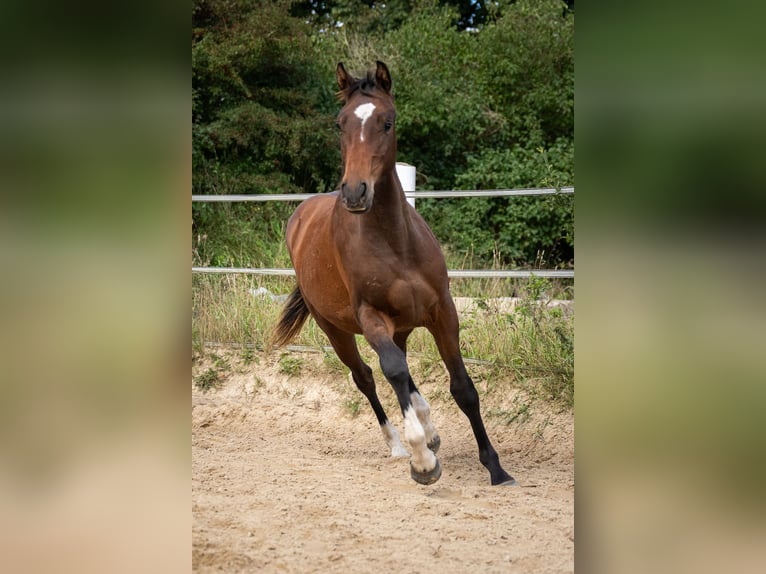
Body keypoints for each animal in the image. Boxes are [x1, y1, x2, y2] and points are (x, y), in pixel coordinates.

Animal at [272, 61, 516, 486]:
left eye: (387, 122)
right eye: (340, 123)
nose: (355, 192)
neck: (395, 243)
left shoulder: (443, 312)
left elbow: (463, 387)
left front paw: (496, 468)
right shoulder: (372, 318)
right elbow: (392, 372)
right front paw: (422, 463)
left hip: (401, 326)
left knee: (403, 373)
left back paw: (430, 433)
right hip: (336, 330)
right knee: (369, 377)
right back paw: (401, 445)